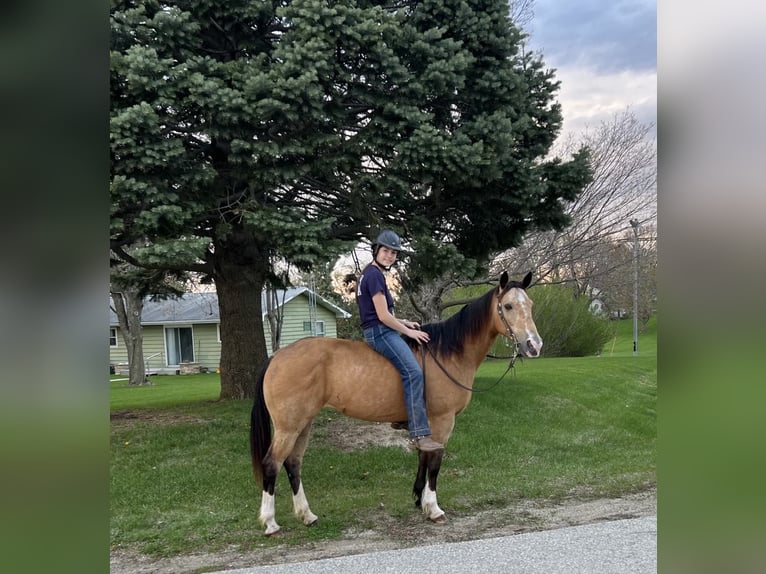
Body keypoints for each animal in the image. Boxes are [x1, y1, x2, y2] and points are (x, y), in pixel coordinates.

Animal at [249, 271, 542, 535]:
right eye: (508, 306)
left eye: (530, 304)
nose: (534, 345)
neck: (448, 352)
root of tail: (277, 356)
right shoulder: (442, 421)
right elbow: (434, 463)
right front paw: (433, 508)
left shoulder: (426, 424)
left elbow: (423, 457)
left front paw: (418, 500)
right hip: (289, 426)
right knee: (272, 464)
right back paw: (271, 523)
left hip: (304, 422)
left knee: (293, 463)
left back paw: (307, 515)